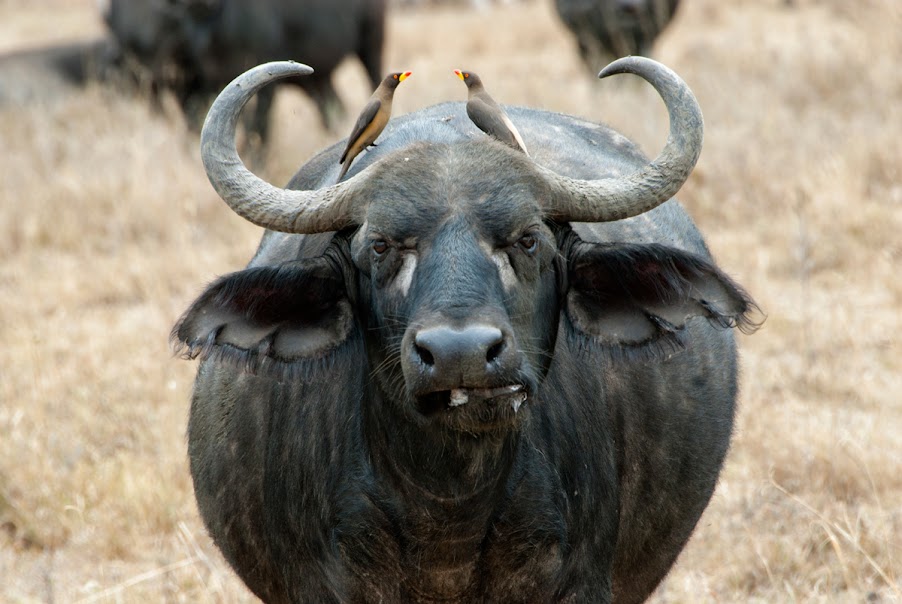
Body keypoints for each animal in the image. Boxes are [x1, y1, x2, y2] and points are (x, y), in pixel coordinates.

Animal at [104, 0, 386, 138]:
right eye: (185, 21)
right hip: (317, 79)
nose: (198, 4)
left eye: (170, 22)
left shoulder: (264, 80)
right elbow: (194, 122)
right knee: (331, 106)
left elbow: (257, 127)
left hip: (371, 43)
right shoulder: (199, 83)